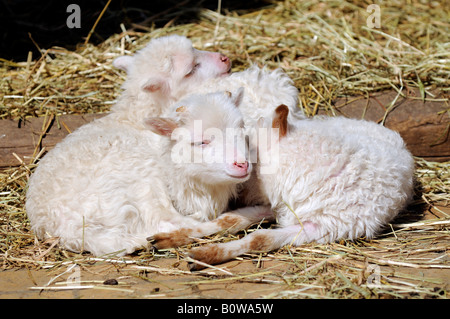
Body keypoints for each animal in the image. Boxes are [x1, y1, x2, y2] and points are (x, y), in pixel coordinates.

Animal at [149, 105, 414, 270]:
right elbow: (230, 220)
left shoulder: (322, 226)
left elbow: (260, 239)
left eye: (252, 157)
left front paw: (205, 255)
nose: (238, 192)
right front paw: (171, 237)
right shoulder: (278, 203)